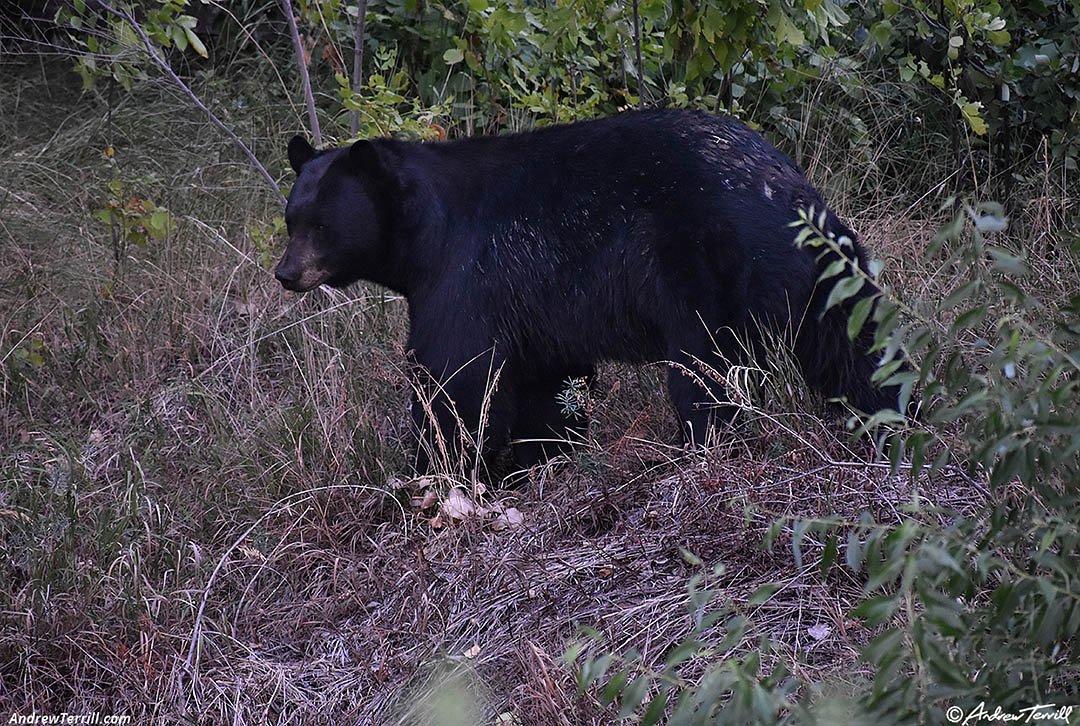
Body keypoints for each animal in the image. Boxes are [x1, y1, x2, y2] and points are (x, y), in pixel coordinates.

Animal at [275, 109, 901, 472]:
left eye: (322, 226)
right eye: (290, 218)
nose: (286, 273)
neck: (424, 232)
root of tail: (787, 190)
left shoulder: (465, 275)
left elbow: (459, 377)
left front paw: (438, 469)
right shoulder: (532, 304)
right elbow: (544, 382)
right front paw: (539, 458)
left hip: (709, 270)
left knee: (709, 371)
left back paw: (700, 448)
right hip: (823, 273)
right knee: (852, 345)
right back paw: (890, 415)